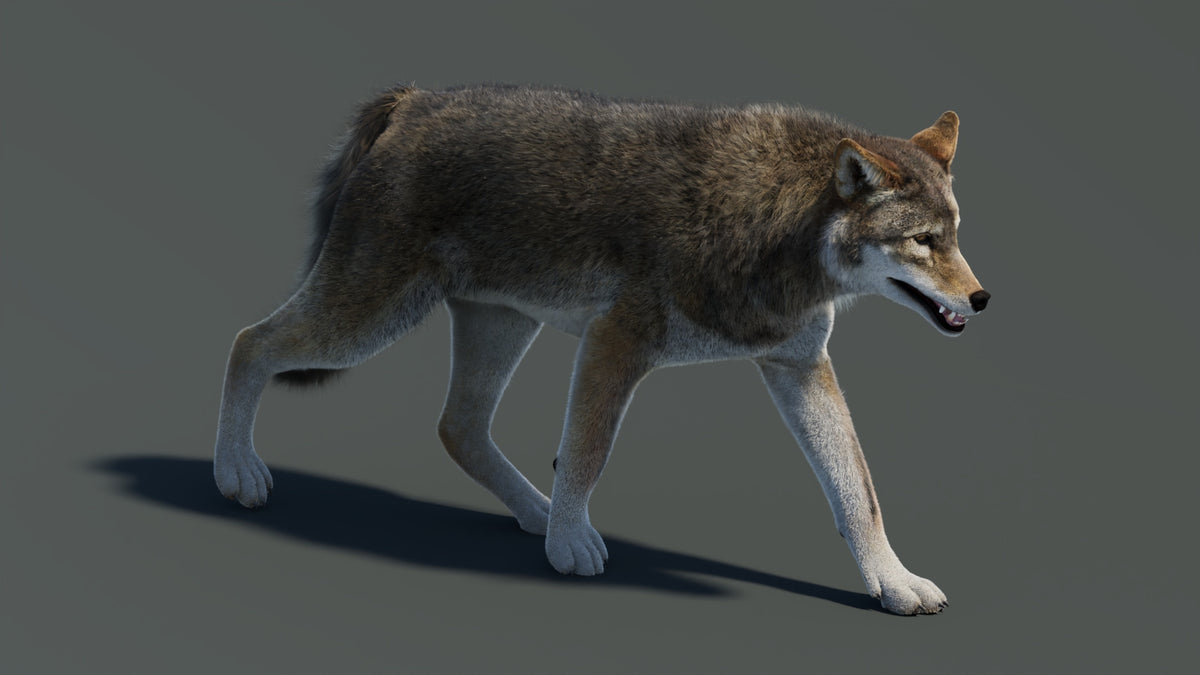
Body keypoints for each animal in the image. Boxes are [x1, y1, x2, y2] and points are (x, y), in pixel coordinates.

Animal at [213, 83, 989, 615]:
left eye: (955, 234)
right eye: (922, 241)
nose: (983, 300)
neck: (778, 224)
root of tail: (415, 99)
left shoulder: (798, 366)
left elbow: (858, 491)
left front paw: (894, 582)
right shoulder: (614, 342)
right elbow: (587, 453)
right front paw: (570, 545)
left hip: (498, 325)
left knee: (458, 427)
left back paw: (532, 510)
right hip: (367, 319)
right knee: (248, 343)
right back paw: (236, 473)